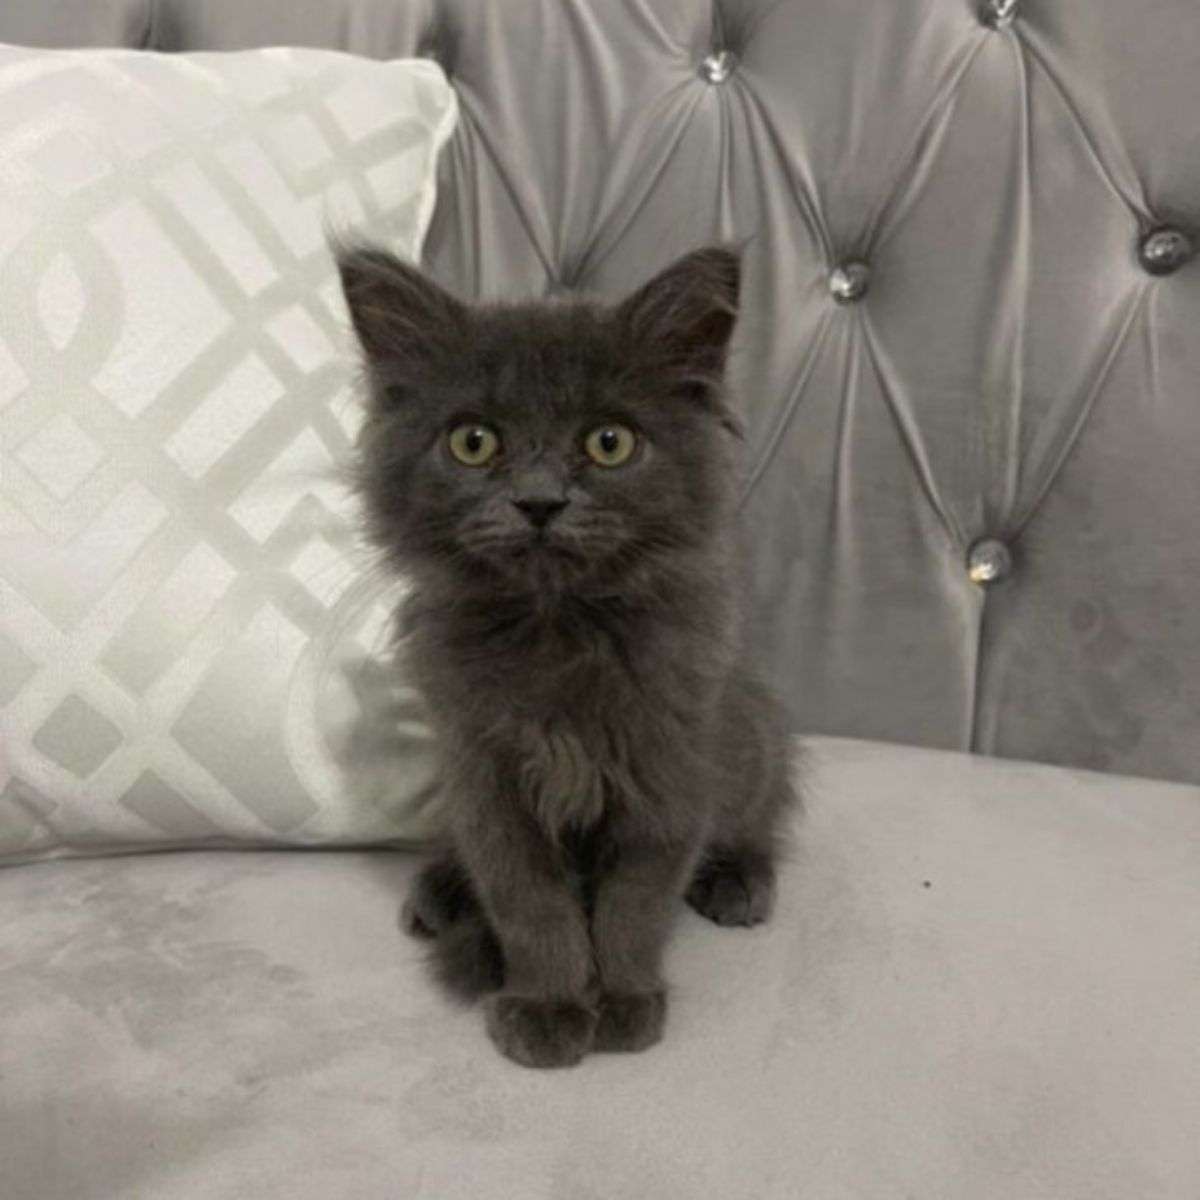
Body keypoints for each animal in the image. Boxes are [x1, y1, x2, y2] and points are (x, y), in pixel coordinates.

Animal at [338, 243, 801, 1070]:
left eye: (608, 442)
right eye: (474, 441)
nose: (539, 501)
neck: (557, 631)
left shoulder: (670, 772)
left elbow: (633, 905)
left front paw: (620, 1000)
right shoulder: (485, 777)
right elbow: (529, 904)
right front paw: (548, 1004)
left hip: (749, 736)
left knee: (762, 811)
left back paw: (741, 878)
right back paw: (441, 891)